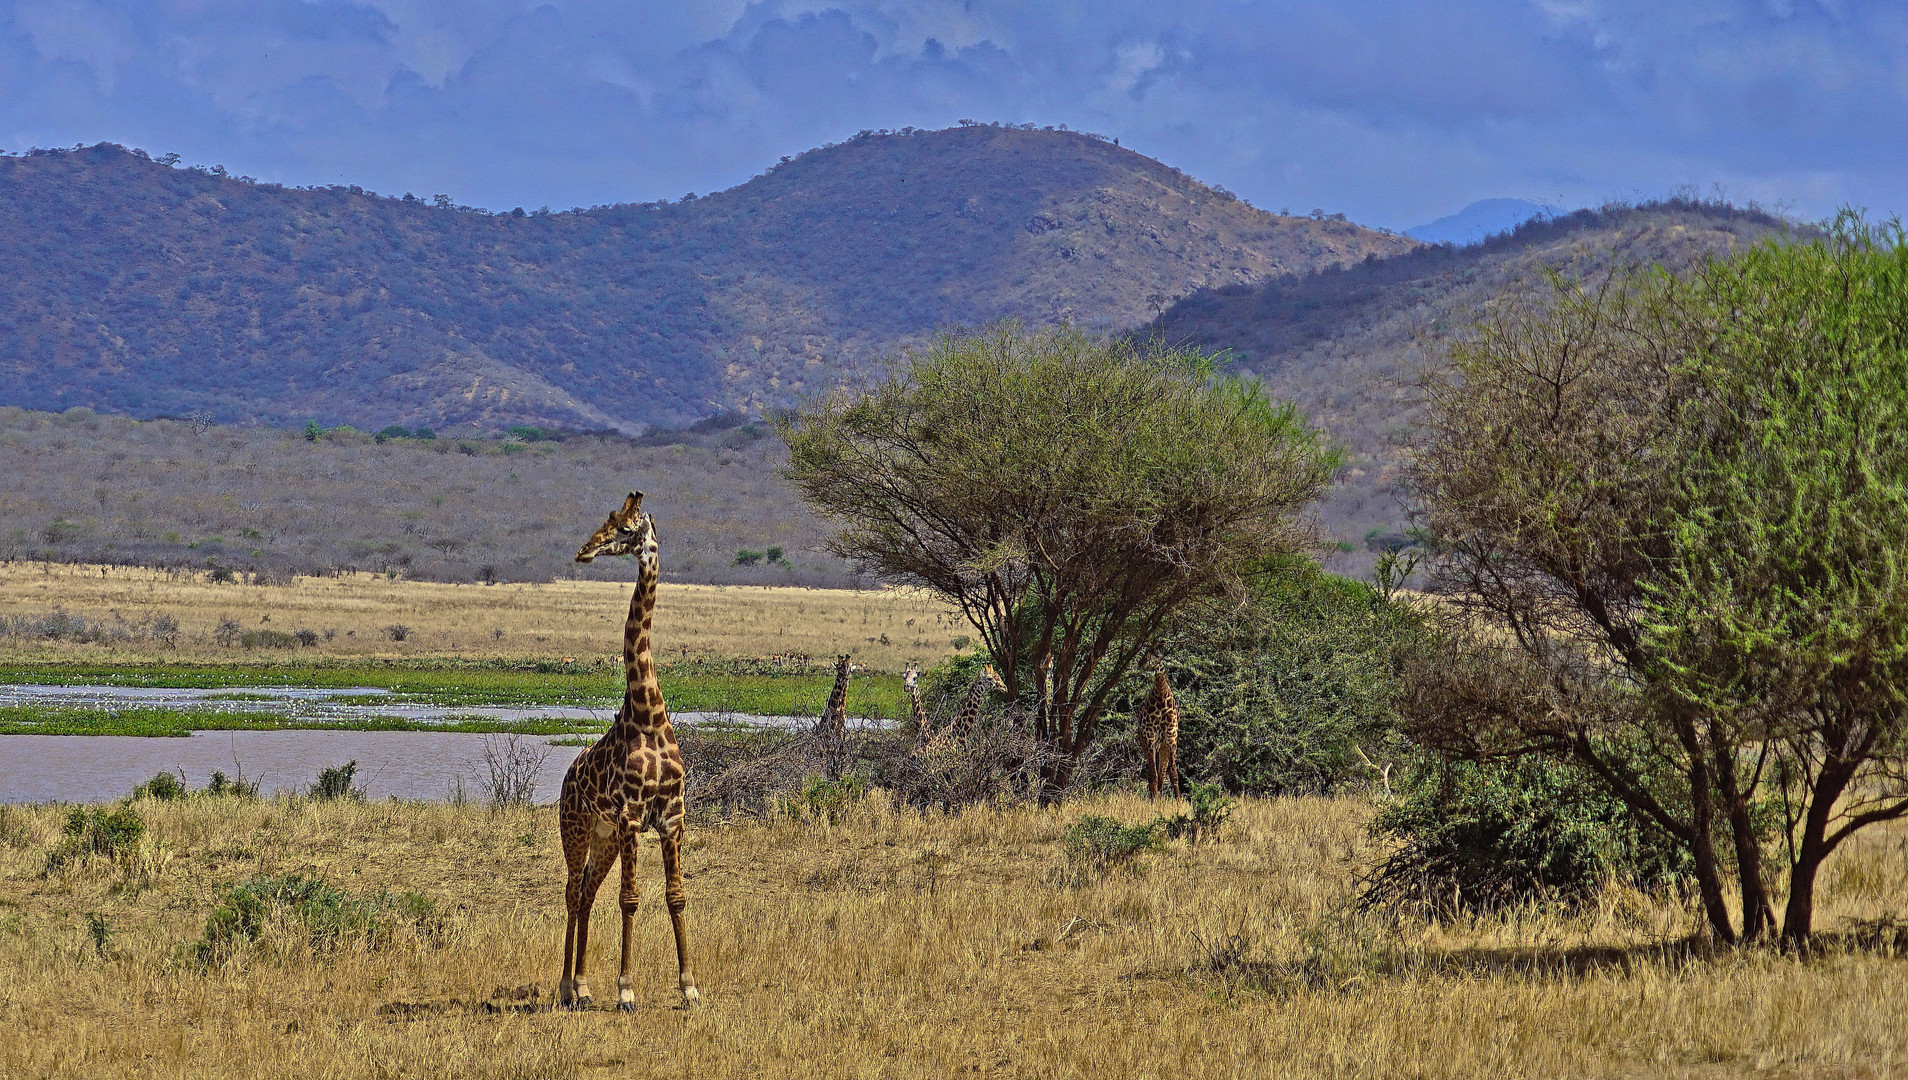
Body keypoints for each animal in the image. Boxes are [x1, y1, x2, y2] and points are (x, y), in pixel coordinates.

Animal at [557, 496, 702, 1015]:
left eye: (622, 528)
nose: (584, 551)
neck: (648, 714)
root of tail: (566, 777)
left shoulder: (672, 817)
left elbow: (676, 897)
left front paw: (690, 987)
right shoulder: (632, 816)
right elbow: (631, 899)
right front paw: (626, 990)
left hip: (603, 837)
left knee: (586, 891)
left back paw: (582, 987)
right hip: (577, 827)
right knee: (572, 891)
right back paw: (567, 987)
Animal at [1129, 660, 1175, 805]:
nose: (1140, 663)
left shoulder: (1171, 737)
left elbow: (1172, 772)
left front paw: (1178, 801)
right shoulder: (1150, 737)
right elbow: (1153, 774)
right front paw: (1153, 802)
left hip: (1162, 745)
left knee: (1161, 773)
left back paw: (1158, 795)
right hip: (1146, 742)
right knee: (1152, 772)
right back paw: (1153, 796)